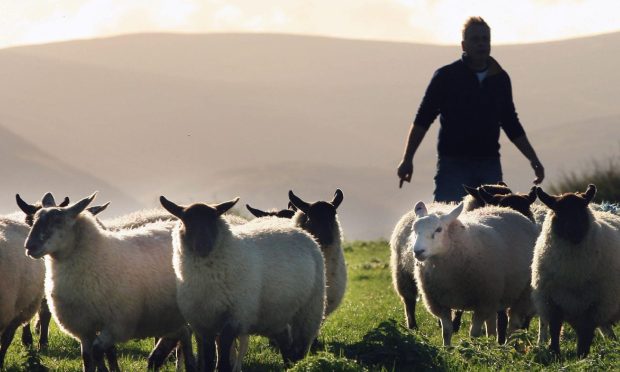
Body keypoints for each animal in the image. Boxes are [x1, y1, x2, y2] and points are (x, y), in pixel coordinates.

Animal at [24, 195, 195, 372]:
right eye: (33, 220)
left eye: (58, 220)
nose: (29, 246)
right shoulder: (84, 327)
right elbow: (87, 358)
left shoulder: (117, 324)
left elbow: (98, 350)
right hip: (169, 315)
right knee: (183, 334)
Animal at [160, 196, 326, 370]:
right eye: (187, 221)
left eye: (213, 220)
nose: (203, 246)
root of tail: (303, 233)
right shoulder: (203, 323)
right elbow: (209, 355)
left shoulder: (235, 315)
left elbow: (224, 350)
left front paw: (223, 367)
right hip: (277, 314)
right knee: (285, 341)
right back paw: (289, 365)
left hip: (309, 310)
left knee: (300, 345)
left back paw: (299, 364)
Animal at [410, 201, 540, 346]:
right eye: (414, 230)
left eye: (439, 229)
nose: (418, 251)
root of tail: (506, 209)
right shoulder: (440, 303)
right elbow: (447, 331)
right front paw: (447, 348)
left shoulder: (483, 302)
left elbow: (474, 333)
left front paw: (472, 348)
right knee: (491, 324)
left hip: (522, 293)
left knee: (514, 323)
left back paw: (509, 345)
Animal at [532, 186, 620, 358]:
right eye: (559, 212)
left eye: (582, 211)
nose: (575, 233)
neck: (572, 273)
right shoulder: (551, 303)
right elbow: (554, 330)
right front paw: (554, 353)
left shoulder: (593, 306)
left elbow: (585, 335)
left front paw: (582, 357)